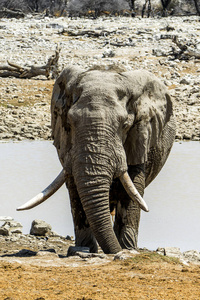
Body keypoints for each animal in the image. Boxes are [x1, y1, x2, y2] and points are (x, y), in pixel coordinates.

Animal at [17, 65, 177, 253]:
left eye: (125, 125)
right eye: (70, 122)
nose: (118, 250)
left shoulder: (140, 138)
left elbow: (131, 191)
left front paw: (127, 250)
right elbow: (76, 189)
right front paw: (84, 250)